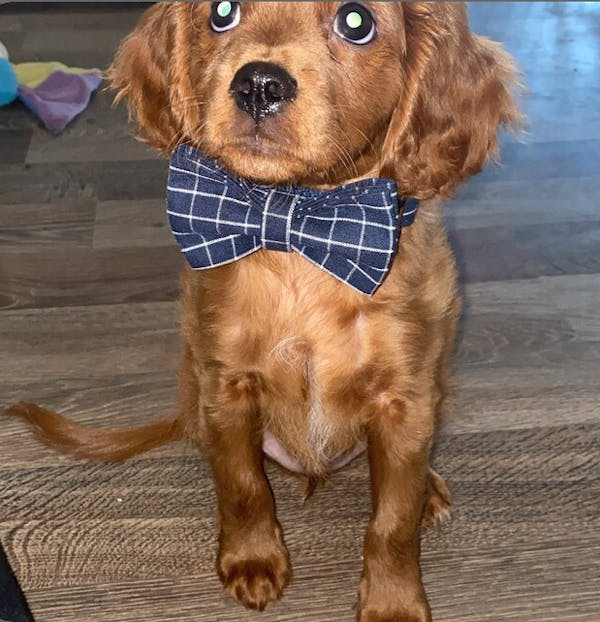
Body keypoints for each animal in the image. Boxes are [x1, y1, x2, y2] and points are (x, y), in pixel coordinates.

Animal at [5, 2, 520, 620]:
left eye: (357, 22)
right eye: (222, 13)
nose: (259, 85)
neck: (297, 224)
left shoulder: (405, 401)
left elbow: (392, 520)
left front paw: (393, 600)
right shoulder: (227, 388)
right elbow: (243, 485)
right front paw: (252, 560)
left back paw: (430, 489)